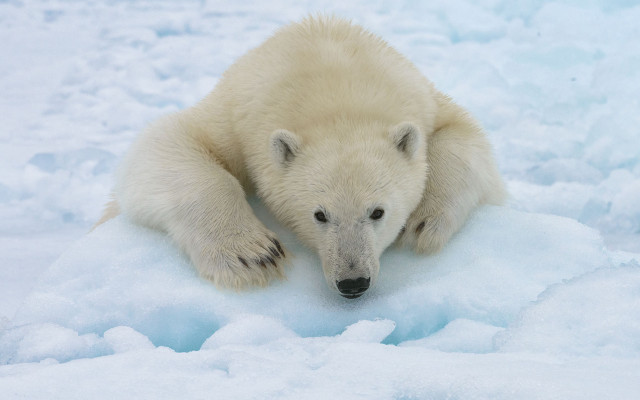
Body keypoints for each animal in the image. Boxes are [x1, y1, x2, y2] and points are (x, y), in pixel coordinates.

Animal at [97, 16, 505, 298]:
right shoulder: (236, 115)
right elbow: (166, 142)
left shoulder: (427, 101)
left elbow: (466, 139)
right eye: (319, 214)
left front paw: (423, 223)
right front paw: (253, 255)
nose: (353, 282)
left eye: (378, 212)